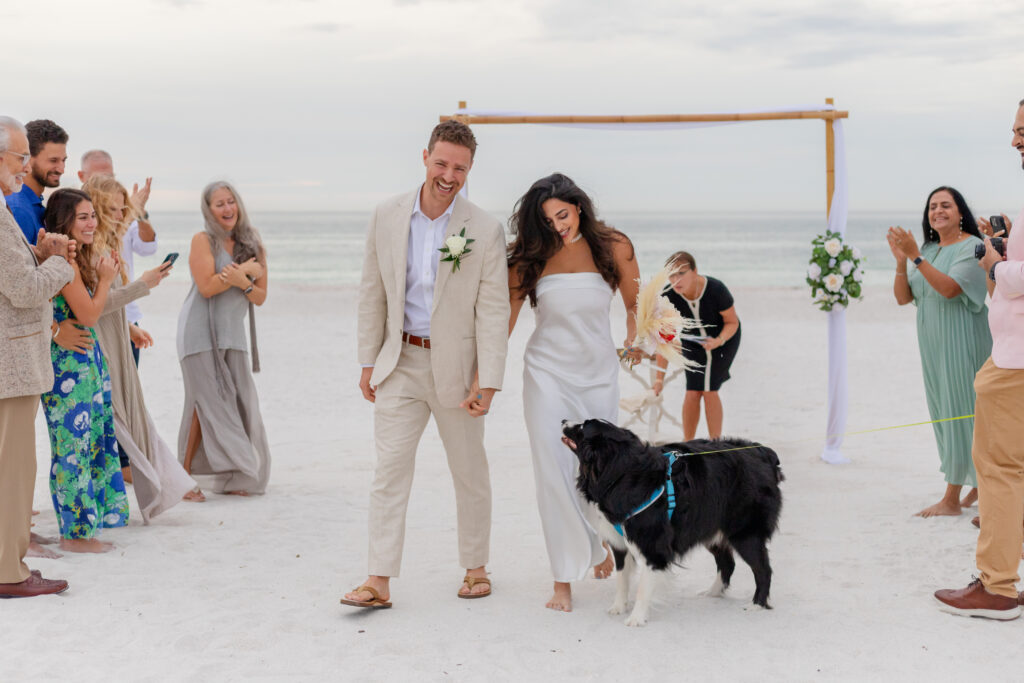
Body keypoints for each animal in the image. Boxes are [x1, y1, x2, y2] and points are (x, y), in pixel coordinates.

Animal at [561, 419, 782, 626]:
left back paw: (757, 604)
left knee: (763, 569)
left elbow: (643, 587)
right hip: (709, 526)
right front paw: (618, 607)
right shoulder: (619, 542)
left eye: (582, 427)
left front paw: (636, 618)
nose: (563, 421)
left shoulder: (653, 546)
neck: (620, 472)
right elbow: (622, 577)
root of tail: (762, 452)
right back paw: (713, 592)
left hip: (744, 533)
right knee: (728, 563)